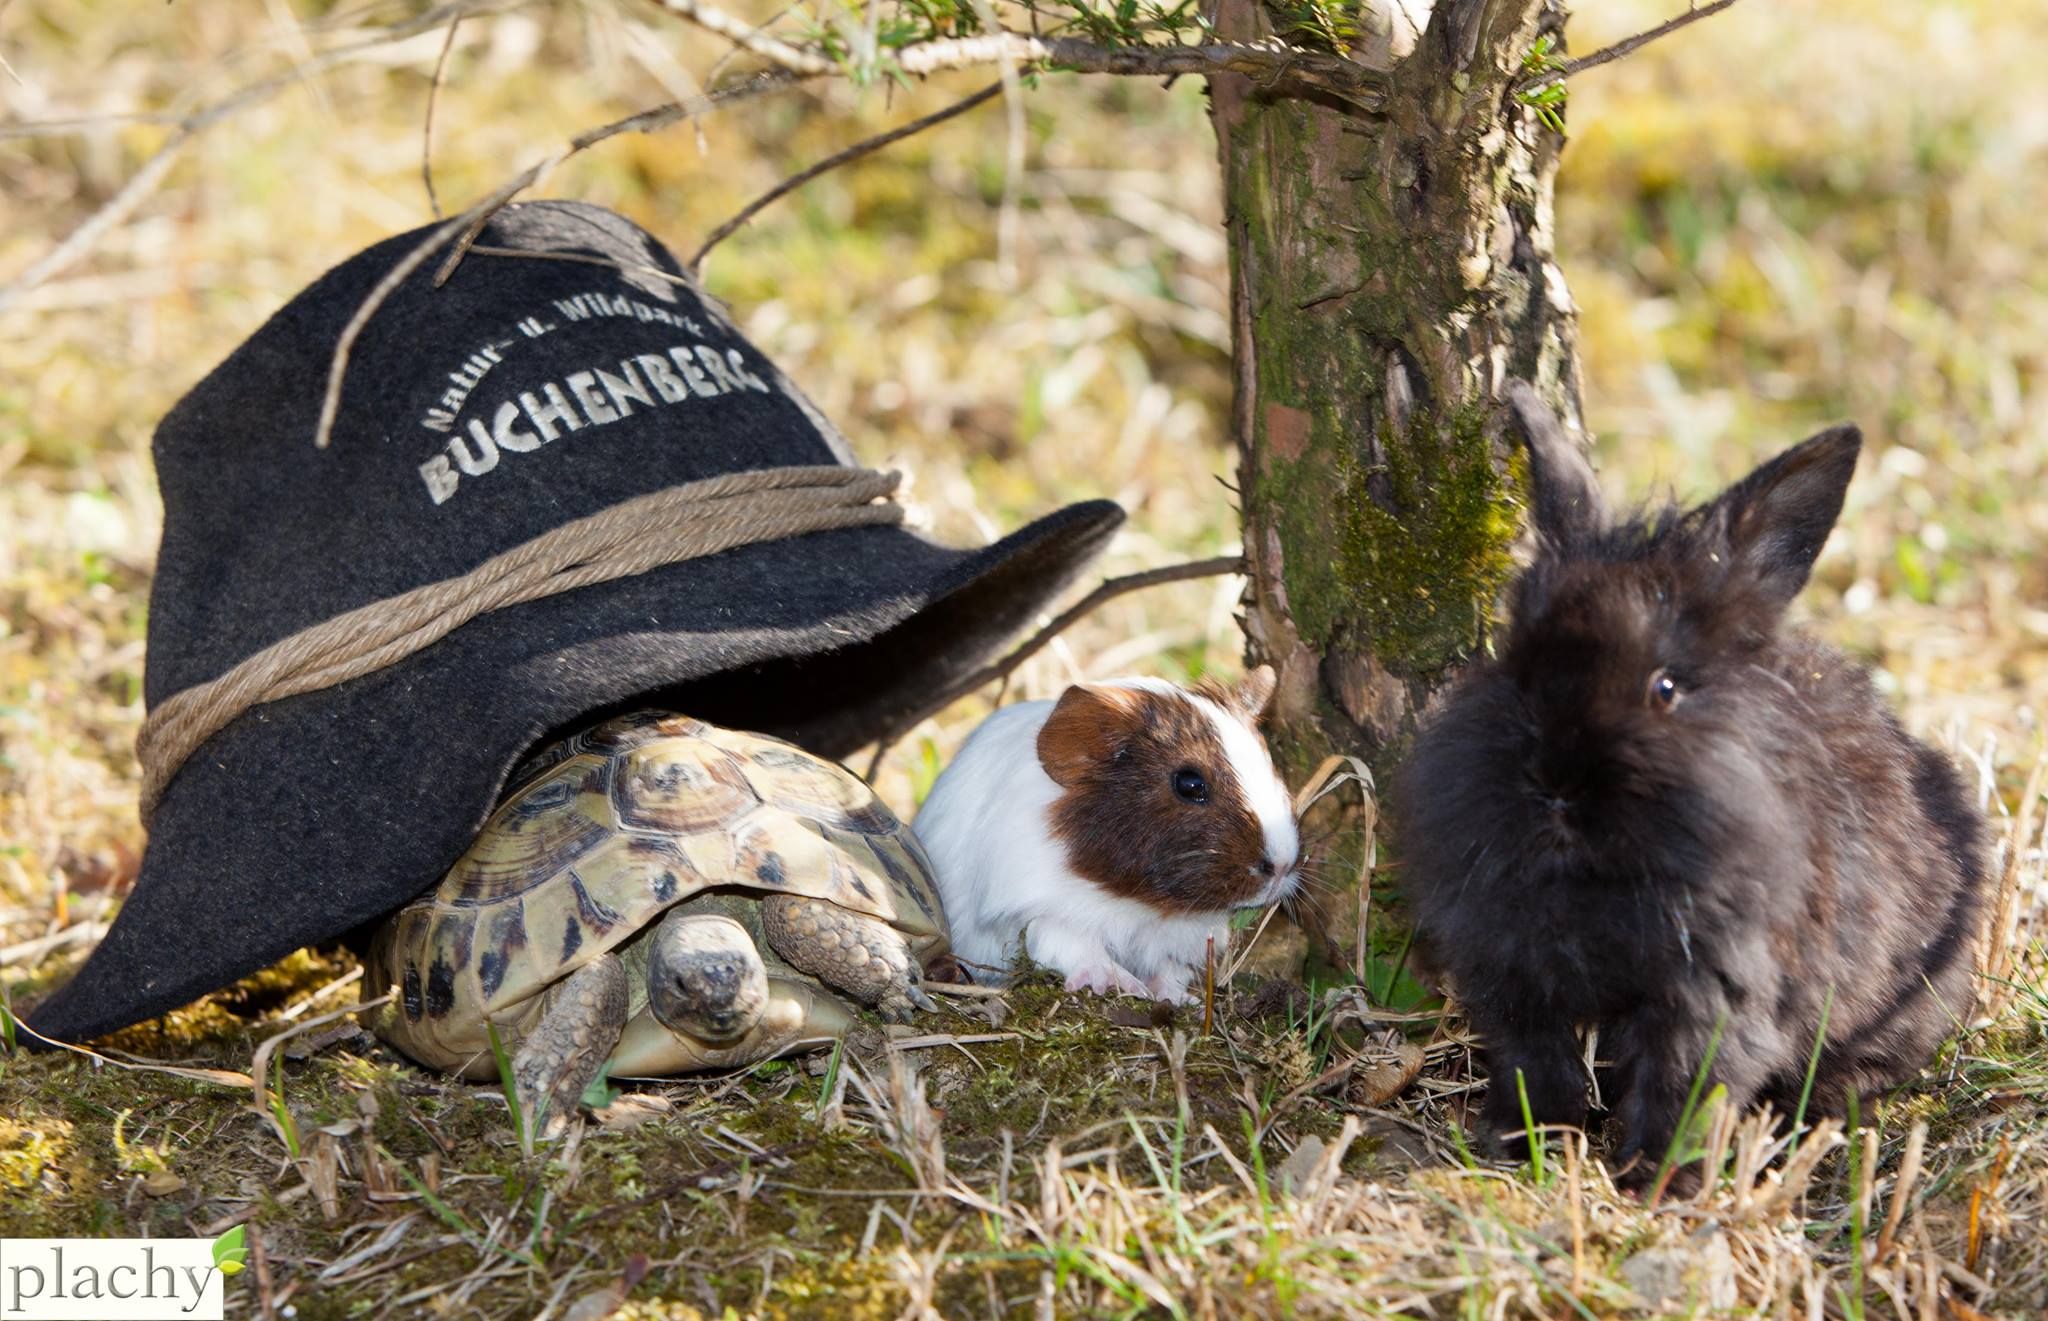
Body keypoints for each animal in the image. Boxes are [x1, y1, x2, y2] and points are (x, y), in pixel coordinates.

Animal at [914, 668, 1301, 1002]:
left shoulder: (1174, 940)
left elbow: (1168, 971)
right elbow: (1080, 951)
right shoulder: (1046, 915)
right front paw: (1118, 986)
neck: (1134, 902)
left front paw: (1176, 999)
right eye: (1190, 784)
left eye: (1270, 765)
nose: (1282, 866)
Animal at [1392, 381, 1988, 1188]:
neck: (1593, 879)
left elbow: (1685, 1085)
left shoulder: (1711, 994)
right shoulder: (1513, 976)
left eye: (1665, 687)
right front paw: (1524, 1144)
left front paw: (1658, 1180)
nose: (1557, 787)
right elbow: (1536, 1066)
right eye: (1513, 663)